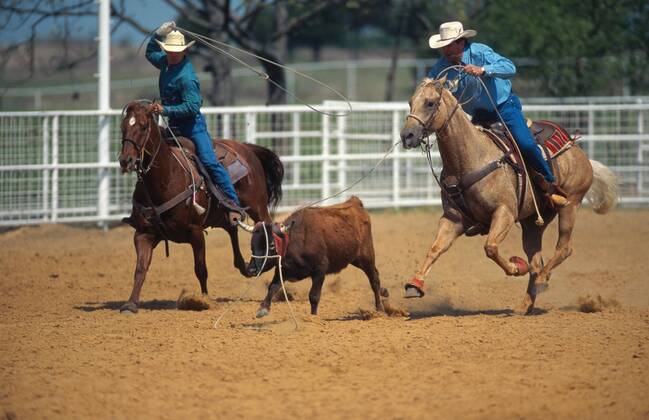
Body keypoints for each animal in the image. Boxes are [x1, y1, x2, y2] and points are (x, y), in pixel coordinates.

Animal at [117, 100, 284, 313]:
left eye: (144, 126)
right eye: (123, 127)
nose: (125, 160)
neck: (167, 177)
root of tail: (246, 148)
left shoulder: (195, 232)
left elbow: (201, 269)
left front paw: (203, 300)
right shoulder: (143, 233)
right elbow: (140, 269)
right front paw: (130, 304)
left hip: (258, 207)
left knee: (269, 230)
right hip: (222, 215)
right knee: (232, 228)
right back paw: (246, 266)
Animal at [400, 77, 618, 314]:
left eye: (430, 103)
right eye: (411, 102)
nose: (407, 136)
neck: (470, 159)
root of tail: (578, 150)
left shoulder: (504, 212)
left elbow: (490, 247)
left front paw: (516, 267)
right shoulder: (453, 218)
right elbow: (436, 248)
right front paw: (414, 284)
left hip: (571, 205)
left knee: (563, 249)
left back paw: (542, 279)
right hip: (533, 222)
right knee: (536, 261)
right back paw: (524, 305)